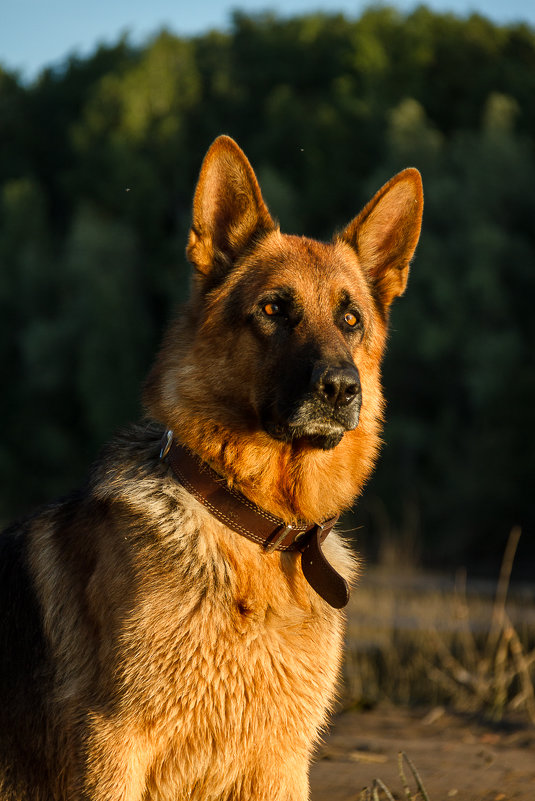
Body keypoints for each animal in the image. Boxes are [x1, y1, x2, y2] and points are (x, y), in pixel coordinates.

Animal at [0, 134, 422, 796]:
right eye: (273, 310)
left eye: (351, 319)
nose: (340, 389)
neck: (258, 528)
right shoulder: (111, 746)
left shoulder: (280, 764)